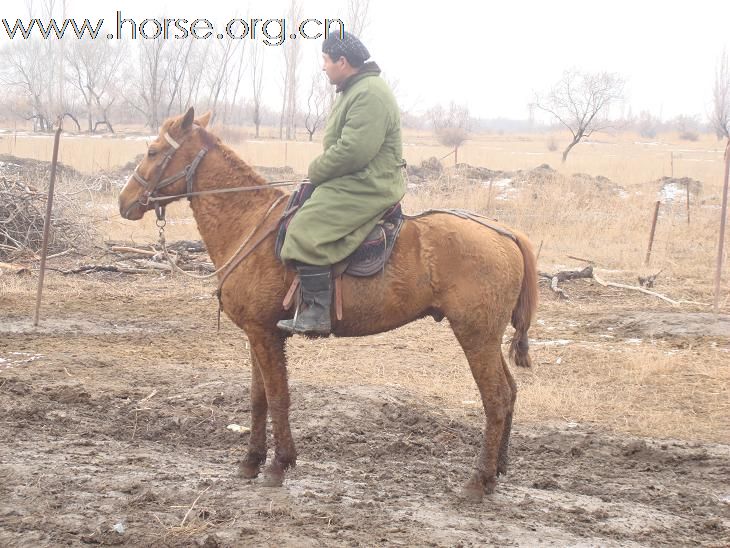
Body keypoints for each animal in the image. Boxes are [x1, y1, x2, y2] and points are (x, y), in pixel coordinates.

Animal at [119, 108, 536, 500]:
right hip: (486, 339)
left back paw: (478, 480)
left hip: (475, 337)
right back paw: (496, 472)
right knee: (511, 393)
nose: (124, 202)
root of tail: (507, 233)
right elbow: (258, 399)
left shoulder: (265, 336)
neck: (248, 220)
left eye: (153, 151)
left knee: (496, 399)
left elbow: (278, 397)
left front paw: (278, 465)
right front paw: (251, 461)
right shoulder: (258, 334)